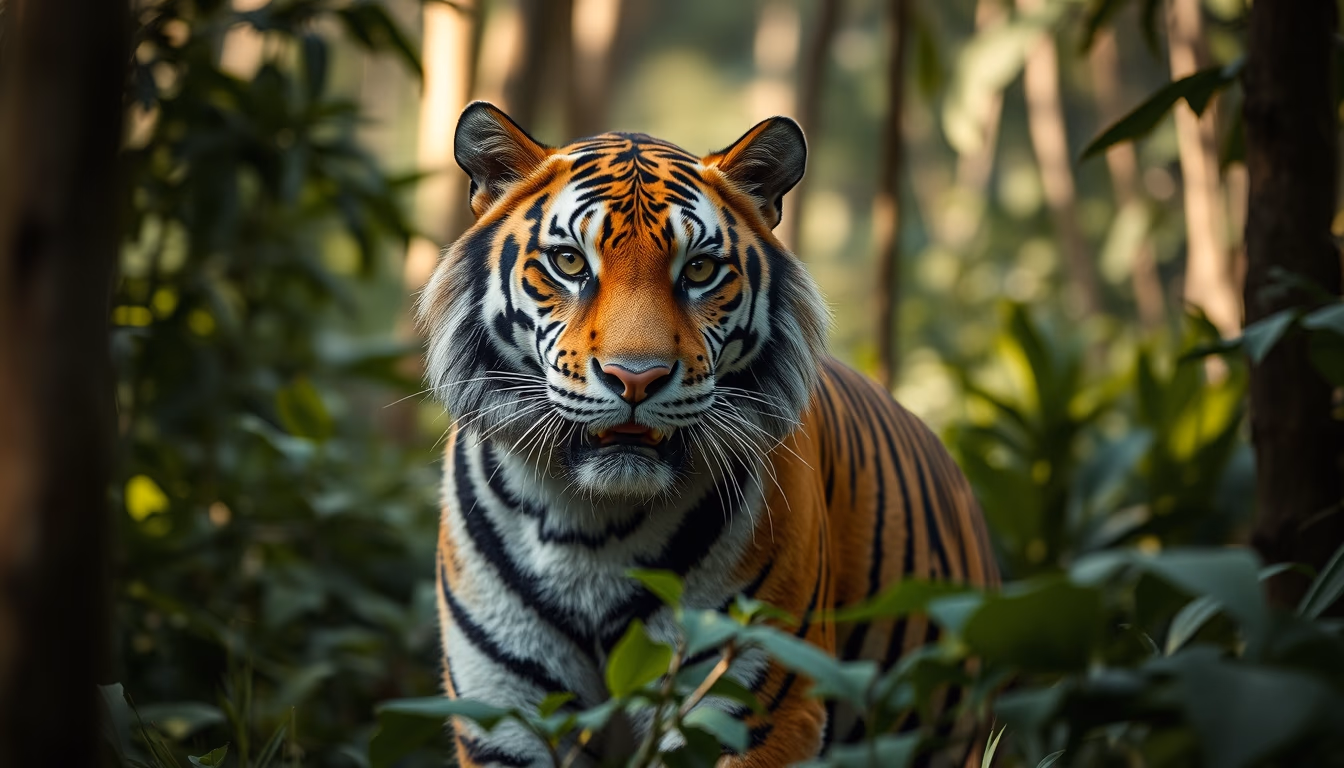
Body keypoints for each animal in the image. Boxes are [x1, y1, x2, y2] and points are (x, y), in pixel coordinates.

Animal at [417, 101, 1000, 767]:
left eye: (698, 269)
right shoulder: (507, 718)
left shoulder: (754, 709)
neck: (592, 527)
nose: (635, 378)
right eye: (569, 263)